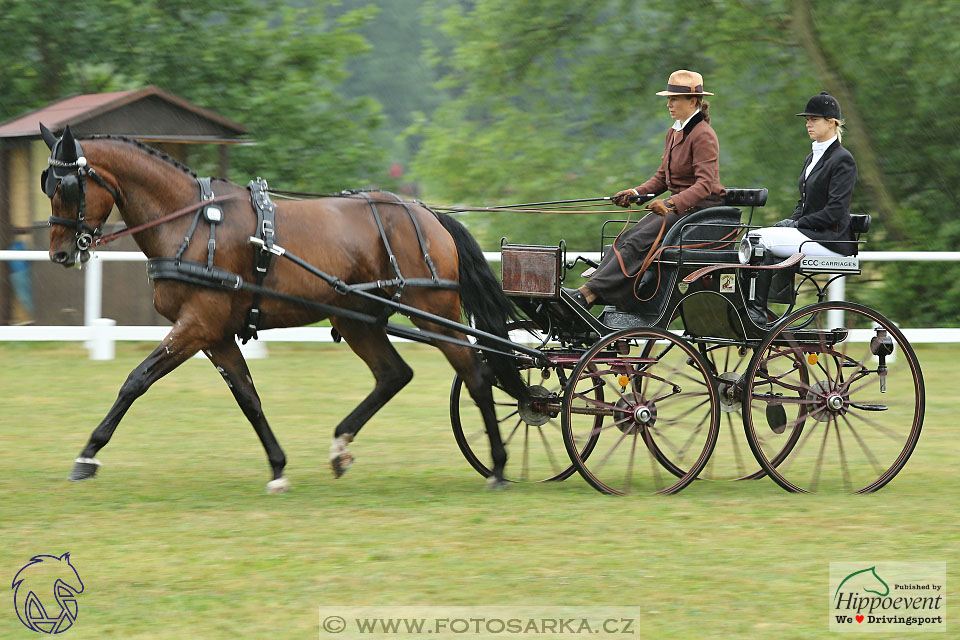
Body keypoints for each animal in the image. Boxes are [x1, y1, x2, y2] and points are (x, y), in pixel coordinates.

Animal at [41, 126, 528, 496]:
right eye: (48, 183)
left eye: (67, 186)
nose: (61, 254)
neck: (190, 224)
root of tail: (425, 212)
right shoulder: (215, 334)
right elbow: (248, 398)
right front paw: (277, 467)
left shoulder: (196, 326)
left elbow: (136, 381)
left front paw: (88, 454)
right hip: (356, 319)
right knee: (394, 374)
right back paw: (340, 447)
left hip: (430, 309)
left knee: (476, 375)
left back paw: (500, 466)